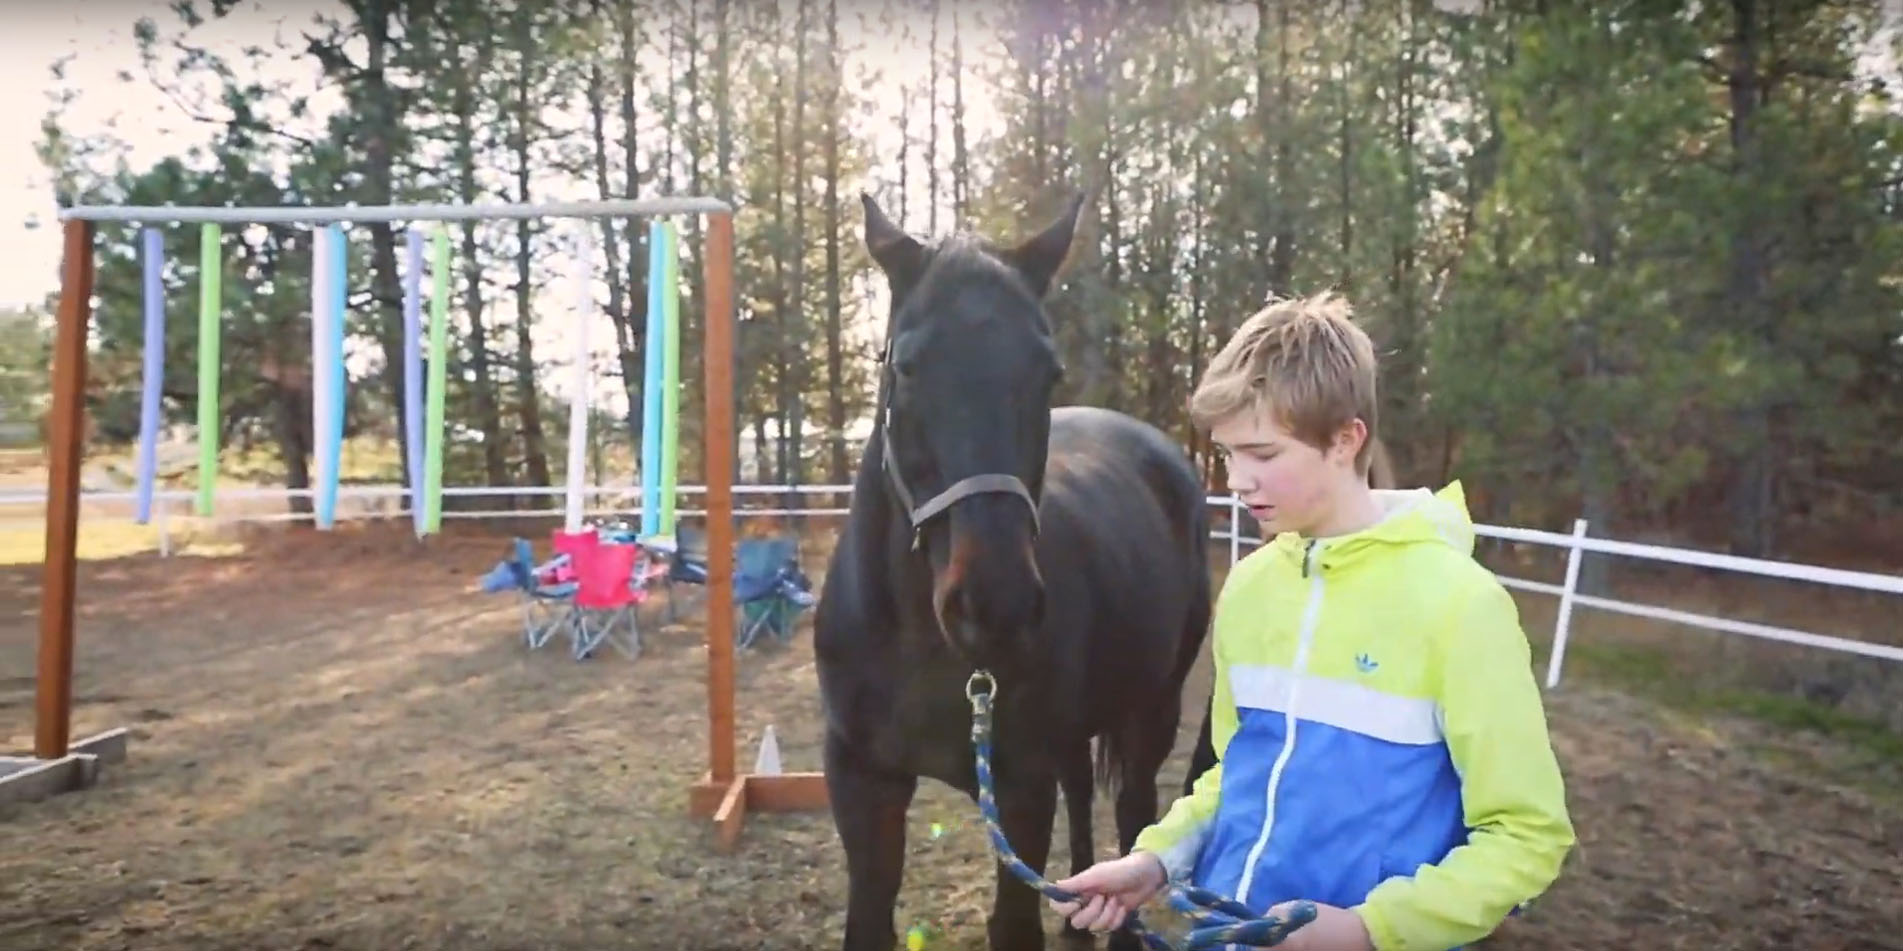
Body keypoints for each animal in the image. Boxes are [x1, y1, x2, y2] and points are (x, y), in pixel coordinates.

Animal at [813, 192, 1214, 951]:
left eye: (1047, 371)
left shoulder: (1021, 785)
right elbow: (869, 916)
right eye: (907, 367)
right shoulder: (861, 780)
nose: (994, 603)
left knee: (1133, 811)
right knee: (1084, 791)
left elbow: (1013, 920)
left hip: (1151, 706)